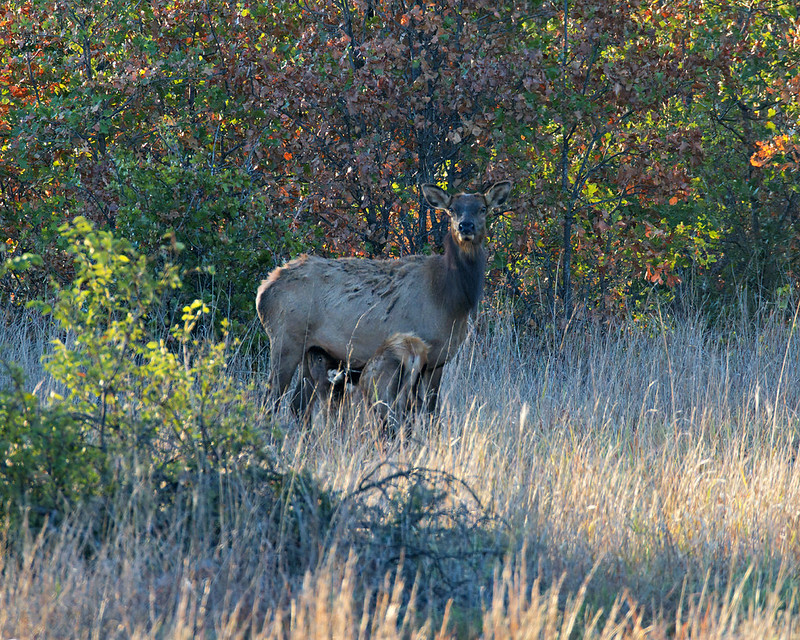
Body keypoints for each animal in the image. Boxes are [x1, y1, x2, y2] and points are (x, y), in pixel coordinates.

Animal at [256, 180, 512, 416]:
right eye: (452, 209)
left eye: (482, 208)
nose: (465, 226)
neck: (450, 299)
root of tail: (263, 292)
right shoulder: (426, 353)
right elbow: (423, 410)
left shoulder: (439, 360)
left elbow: (430, 410)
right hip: (285, 340)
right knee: (270, 400)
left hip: (313, 351)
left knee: (298, 404)